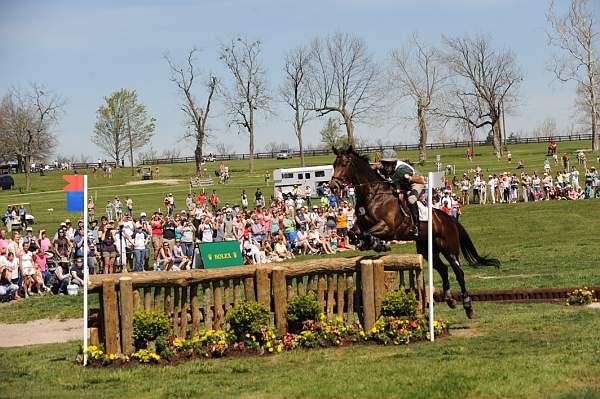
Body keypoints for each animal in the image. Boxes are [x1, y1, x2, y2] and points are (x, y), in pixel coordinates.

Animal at [330, 147, 500, 318]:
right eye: (333, 164)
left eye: (344, 164)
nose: (333, 187)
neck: (373, 194)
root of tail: (451, 220)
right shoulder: (360, 225)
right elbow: (352, 233)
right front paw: (366, 244)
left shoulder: (388, 227)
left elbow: (368, 234)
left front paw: (379, 245)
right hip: (427, 250)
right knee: (443, 269)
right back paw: (450, 299)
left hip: (449, 249)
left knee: (459, 272)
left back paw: (467, 305)